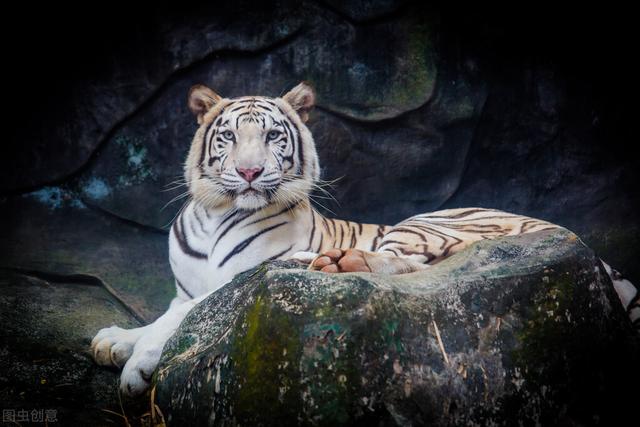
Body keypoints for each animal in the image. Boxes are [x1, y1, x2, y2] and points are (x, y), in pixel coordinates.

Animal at [91, 82, 640, 396]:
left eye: (272, 136)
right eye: (228, 136)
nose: (248, 173)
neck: (216, 211)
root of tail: (586, 246)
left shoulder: (228, 282)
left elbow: (181, 318)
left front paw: (136, 367)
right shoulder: (183, 289)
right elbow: (165, 314)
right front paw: (114, 341)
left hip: (427, 221)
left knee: (406, 265)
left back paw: (326, 262)